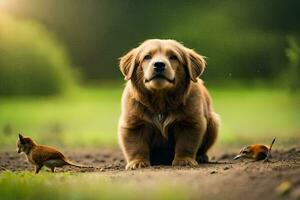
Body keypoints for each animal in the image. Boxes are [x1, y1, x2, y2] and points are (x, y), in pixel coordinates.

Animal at [118, 38, 219, 169]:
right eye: (147, 57)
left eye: (173, 57)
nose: (159, 64)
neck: (160, 99)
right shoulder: (134, 124)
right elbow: (136, 145)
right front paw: (137, 162)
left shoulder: (190, 122)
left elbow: (186, 144)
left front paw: (184, 160)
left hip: (213, 122)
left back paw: (201, 157)